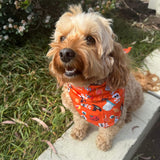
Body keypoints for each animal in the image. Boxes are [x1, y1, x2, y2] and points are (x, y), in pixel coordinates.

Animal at [46, 5, 144, 151]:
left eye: (90, 39)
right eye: (62, 38)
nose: (65, 53)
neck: (87, 89)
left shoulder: (114, 118)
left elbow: (107, 131)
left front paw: (103, 142)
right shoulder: (76, 109)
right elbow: (80, 120)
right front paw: (78, 131)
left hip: (137, 98)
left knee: (130, 108)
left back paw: (128, 116)